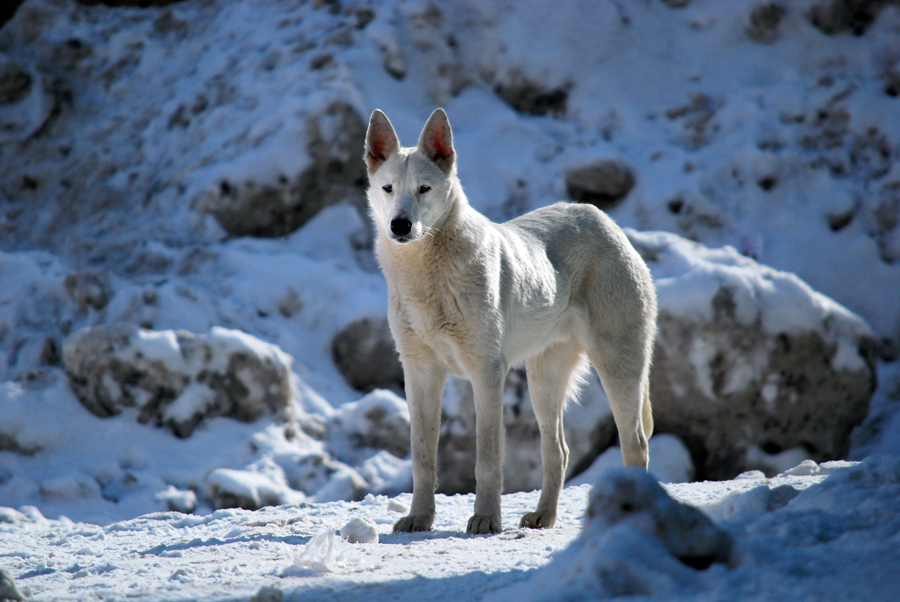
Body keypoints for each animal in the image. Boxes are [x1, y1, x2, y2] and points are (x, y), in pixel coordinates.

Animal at [362, 109, 656, 536]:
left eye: (423, 189)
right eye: (388, 188)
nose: (400, 226)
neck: (427, 275)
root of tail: (606, 222)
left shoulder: (487, 372)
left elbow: (486, 459)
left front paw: (486, 519)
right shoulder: (419, 373)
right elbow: (422, 458)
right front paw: (419, 519)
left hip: (618, 368)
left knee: (635, 444)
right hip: (543, 381)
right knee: (558, 451)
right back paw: (543, 516)